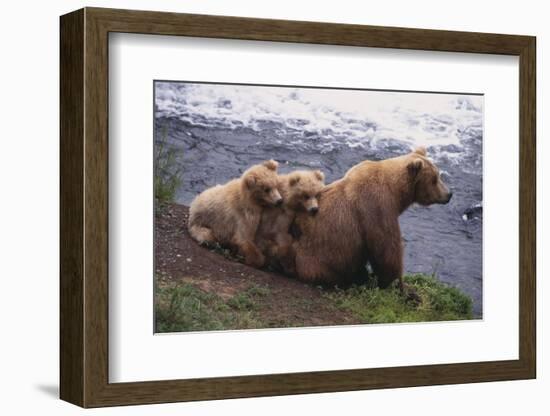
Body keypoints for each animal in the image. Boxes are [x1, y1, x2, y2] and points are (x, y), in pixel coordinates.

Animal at [288, 147, 452, 292]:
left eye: (438, 175)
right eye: (434, 179)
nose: (449, 194)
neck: (395, 193)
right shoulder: (376, 207)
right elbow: (387, 251)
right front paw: (400, 288)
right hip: (318, 258)